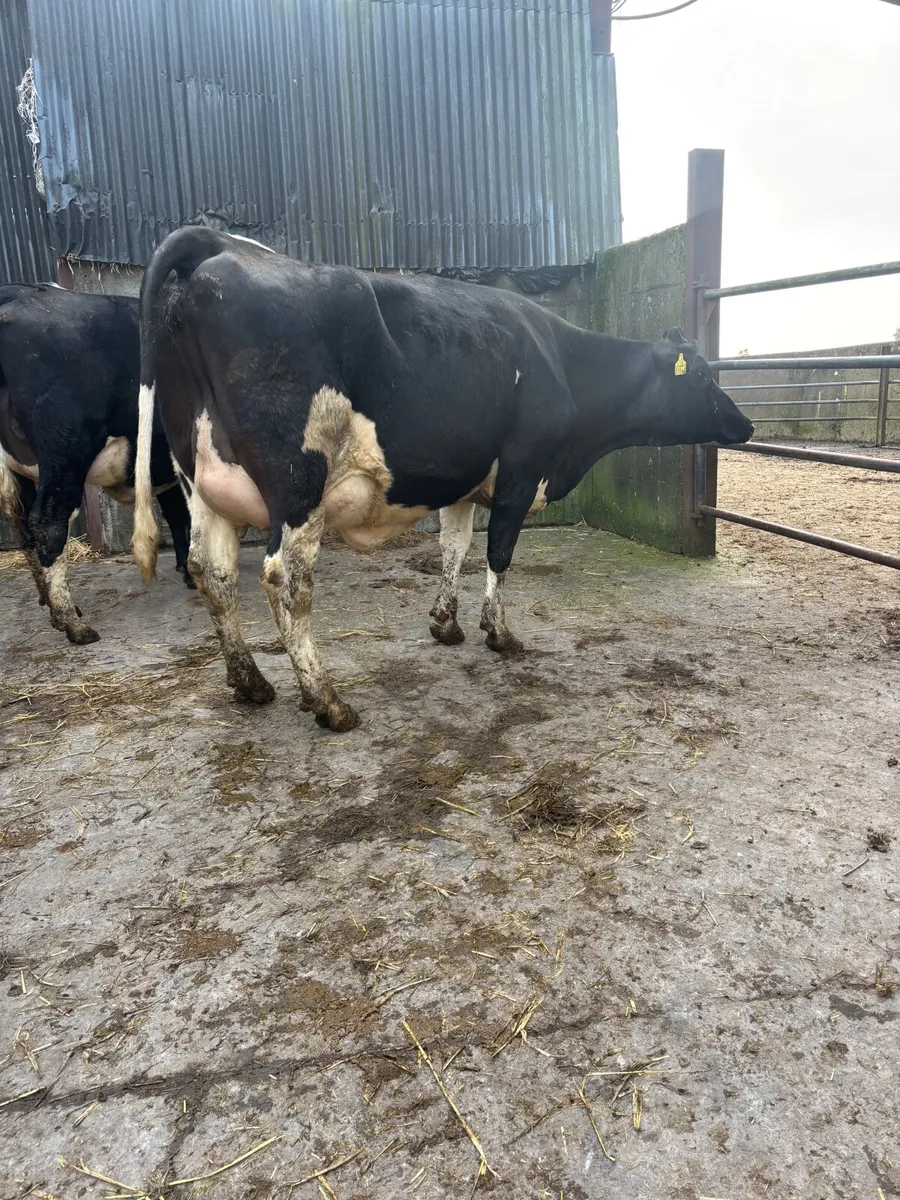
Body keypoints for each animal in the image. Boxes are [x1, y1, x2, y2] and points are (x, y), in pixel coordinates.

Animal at [0, 284, 194, 645]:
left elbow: (178, 516)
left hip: (22, 469)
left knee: (23, 526)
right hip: (65, 453)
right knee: (48, 523)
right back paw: (73, 625)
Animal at [132, 227, 753, 731]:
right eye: (701, 375)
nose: (745, 425)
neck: (563, 362)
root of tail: (219, 245)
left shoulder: (463, 479)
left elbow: (454, 547)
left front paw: (445, 625)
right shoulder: (522, 470)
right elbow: (498, 552)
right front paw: (498, 633)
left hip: (201, 480)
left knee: (211, 571)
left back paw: (250, 682)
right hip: (296, 482)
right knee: (285, 577)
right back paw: (328, 702)